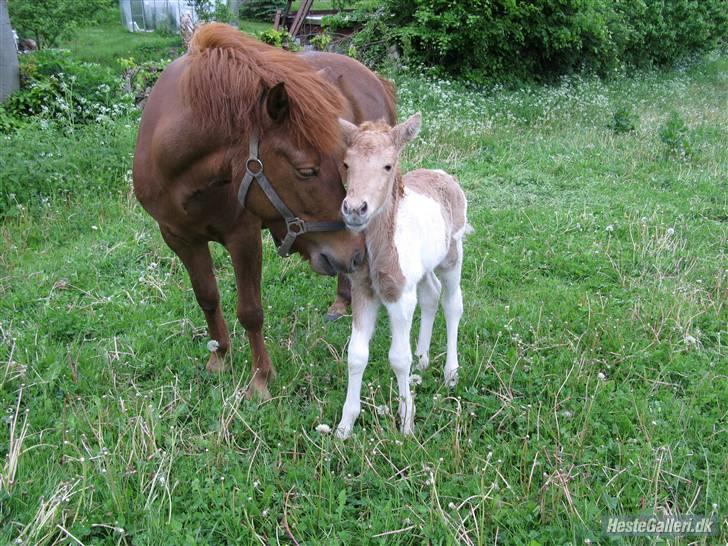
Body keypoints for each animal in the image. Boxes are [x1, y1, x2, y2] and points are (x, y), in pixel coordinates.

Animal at [135, 24, 398, 396]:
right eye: (306, 171)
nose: (354, 255)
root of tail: (373, 77)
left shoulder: (243, 237)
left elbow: (250, 311)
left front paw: (260, 379)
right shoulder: (179, 238)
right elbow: (207, 297)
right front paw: (219, 357)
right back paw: (341, 300)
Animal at [336, 112, 472, 436]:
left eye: (387, 165)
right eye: (347, 164)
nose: (355, 209)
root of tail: (444, 175)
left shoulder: (400, 297)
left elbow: (398, 357)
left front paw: (407, 423)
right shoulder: (363, 291)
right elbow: (356, 355)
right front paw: (345, 426)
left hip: (452, 254)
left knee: (452, 303)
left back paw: (450, 372)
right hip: (422, 270)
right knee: (431, 294)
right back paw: (422, 361)